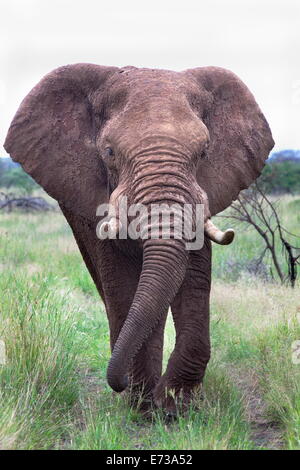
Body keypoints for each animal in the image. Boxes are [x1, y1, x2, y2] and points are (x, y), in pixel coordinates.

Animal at [3, 63, 274, 414]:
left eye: (204, 152)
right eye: (109, 152)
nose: (117, 383)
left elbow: (194, 276)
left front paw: (174, 405)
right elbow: (120, 279)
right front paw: (143, 405)